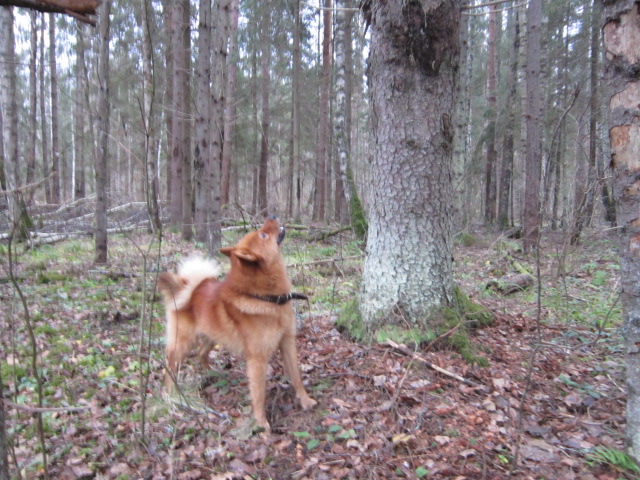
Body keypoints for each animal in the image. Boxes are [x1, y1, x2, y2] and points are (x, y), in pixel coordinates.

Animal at [157, 216, 316, 432]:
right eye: (263, 235)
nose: (272, 216)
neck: (268, 298)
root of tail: (188, 288)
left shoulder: (287, 343)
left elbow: (296, 377)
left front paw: (305, 401)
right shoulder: (257, 359)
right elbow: (259, 394)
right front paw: (261, 422)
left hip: (212, 336)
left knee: (201, 353)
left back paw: (211, 372)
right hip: (183, 344)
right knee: (170, 366)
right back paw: (170, 393)